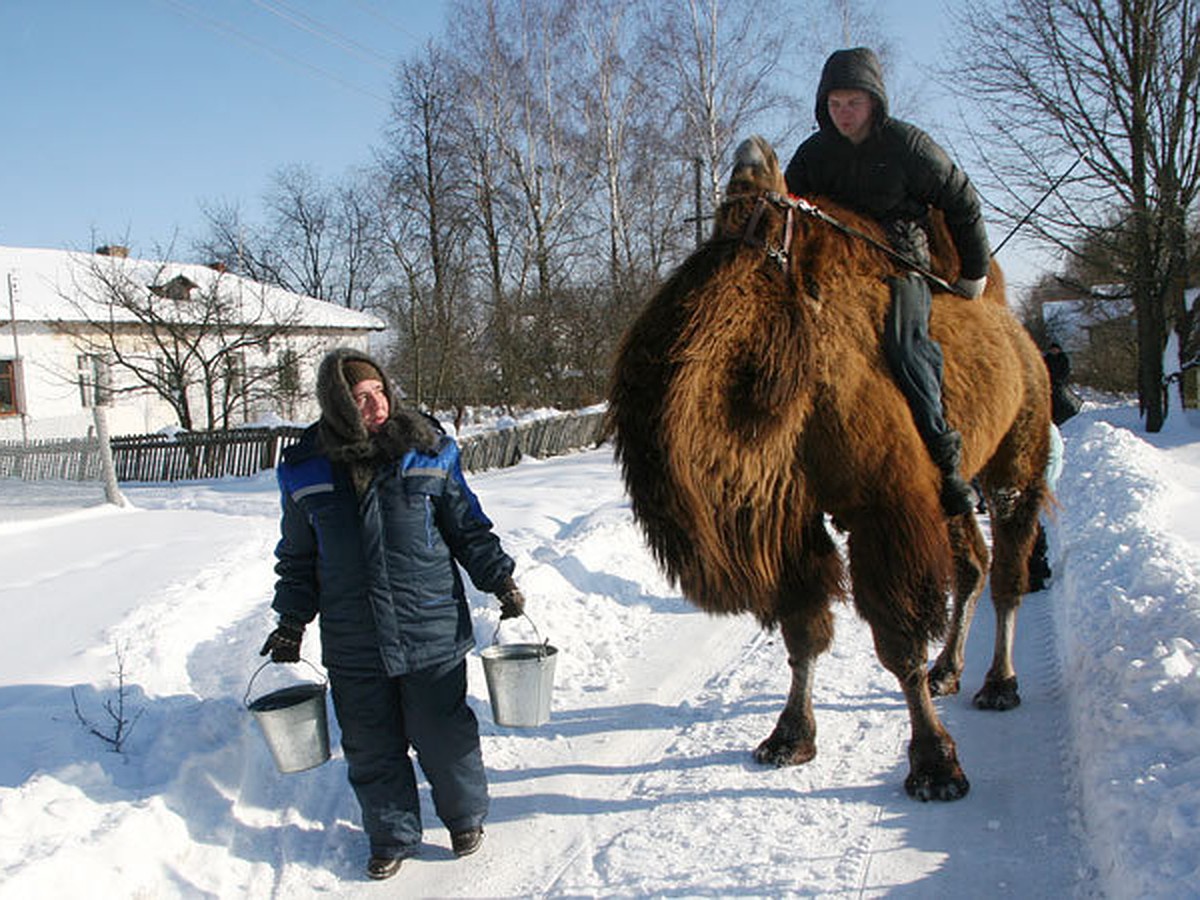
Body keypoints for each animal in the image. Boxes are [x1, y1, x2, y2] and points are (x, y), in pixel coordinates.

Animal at [609, 135, 1051, 801]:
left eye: (769, 230)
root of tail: (1020, 340)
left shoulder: (884, 505)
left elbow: (898, 640)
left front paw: (935, 765)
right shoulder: (794, 515)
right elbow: (803, 632)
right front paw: (788, 736)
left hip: (1016, 462)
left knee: (1008, 570)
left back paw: (1000, 683)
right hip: (950, 490)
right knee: (973, 562)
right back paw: (950, 669)